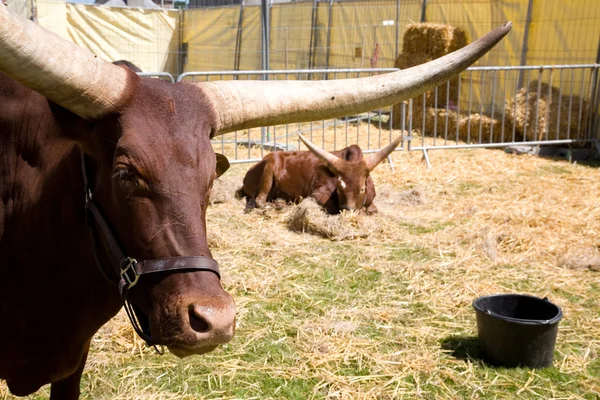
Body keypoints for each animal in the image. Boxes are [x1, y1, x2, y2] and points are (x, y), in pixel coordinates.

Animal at [237, 134, 400, 216]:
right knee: (260, 200)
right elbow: (332, 207)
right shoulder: (317, 194)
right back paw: (278, 205)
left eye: (362, 189)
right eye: (339, 188)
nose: (348, 210)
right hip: (270, 166)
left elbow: (372, 209)